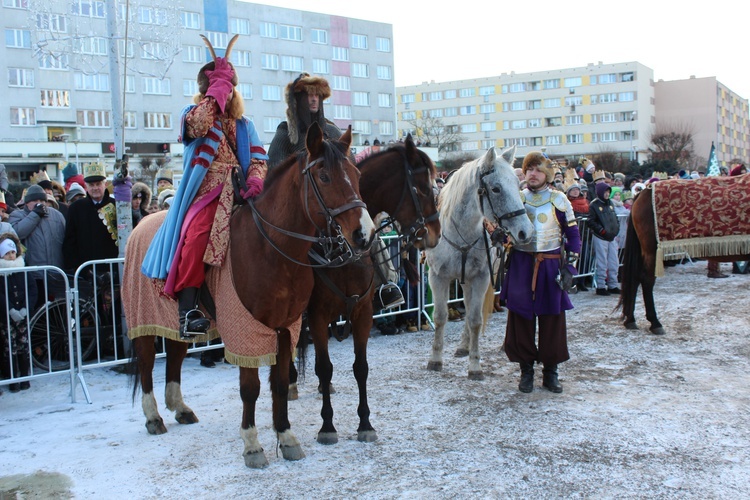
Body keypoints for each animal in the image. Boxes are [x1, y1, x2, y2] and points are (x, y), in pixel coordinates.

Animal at [125, 123, 378, 466]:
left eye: (356, 173)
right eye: (324, 176)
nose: (365, 234)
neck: (273, 249)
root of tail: (140, 227)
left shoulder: (287, 327)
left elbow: (280, 383)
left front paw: (286, 436)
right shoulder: (247, 328)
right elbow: (250, 388)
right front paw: (253, 445)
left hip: (177, 319)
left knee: (175, 354)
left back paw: (180, 408)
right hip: (143, 317)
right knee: (147, 362)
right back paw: (153, 416)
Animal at [300, 134, 440, 446]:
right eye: (423, 188)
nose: (435, 234)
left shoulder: (363, 312)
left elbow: (360, 367)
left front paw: (365, 422)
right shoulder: (316, 316)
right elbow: (324, 367)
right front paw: (327, 425)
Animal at [426, 146, 536, 380]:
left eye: (517, 184)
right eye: (495, 189)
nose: (526, 232)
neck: (460, 235)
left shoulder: (481, 277)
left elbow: (475, 320)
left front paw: (475, 366)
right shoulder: (438, 277)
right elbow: (440, 317)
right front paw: (435, 359)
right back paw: (463, 346)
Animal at [620, 176, 750, 336]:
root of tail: (644, 191)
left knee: (635, 278)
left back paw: (630, 319)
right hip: (651, 250)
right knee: (646, 280)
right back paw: (654, 322)